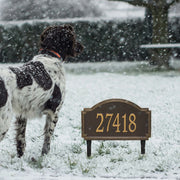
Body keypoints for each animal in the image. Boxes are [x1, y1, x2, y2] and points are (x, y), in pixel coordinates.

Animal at [0, 24, 83, 157]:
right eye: (74, 37)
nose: (81, 47)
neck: (49, 55)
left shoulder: (22, 113)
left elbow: (21, 138)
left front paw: (20, 157)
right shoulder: (54, 111)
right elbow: (48, 137)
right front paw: (45, 156)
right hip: (4, 118)